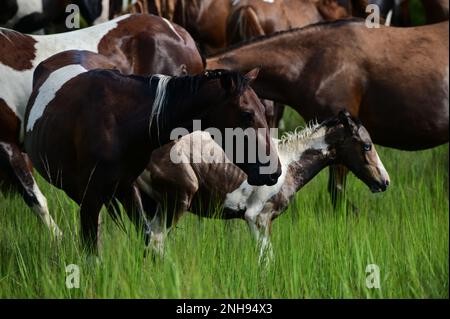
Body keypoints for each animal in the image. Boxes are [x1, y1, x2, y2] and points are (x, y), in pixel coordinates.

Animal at [22, 52, 280, 252]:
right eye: (247, 114)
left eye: (263, 110)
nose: (274, 171)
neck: (118, 122)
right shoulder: (91, 196)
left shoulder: (126, 188)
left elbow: (147, 239)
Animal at [138, 111, 390, 258]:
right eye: (367, 145)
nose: (384, 182)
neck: (287, 164)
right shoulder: (258, 217)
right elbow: (266, 259)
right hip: (176, 202)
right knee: (157, 243)